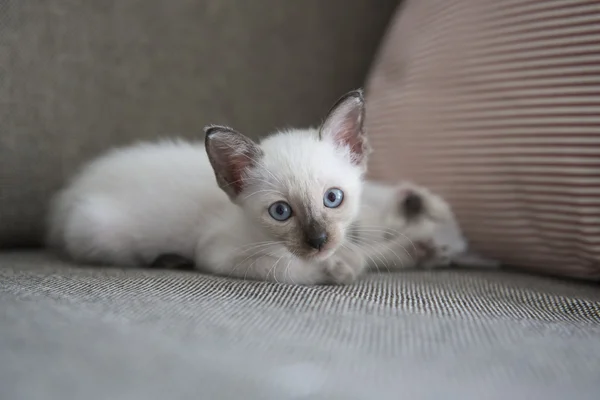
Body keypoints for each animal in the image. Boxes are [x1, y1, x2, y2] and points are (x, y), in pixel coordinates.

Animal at [48, 90, 370, 284]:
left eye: (332, 198)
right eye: (281, 212)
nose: (318, 240)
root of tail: (72, 187)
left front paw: (347, 259)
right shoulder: (220, 253)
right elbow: (289, 269)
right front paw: (336, 269)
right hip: (99, 233)